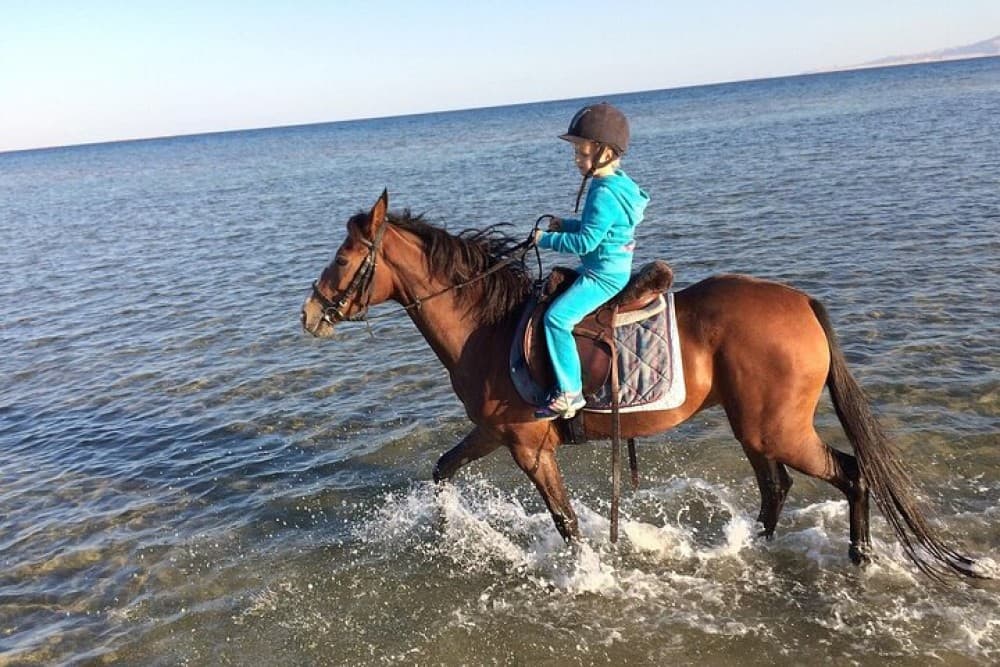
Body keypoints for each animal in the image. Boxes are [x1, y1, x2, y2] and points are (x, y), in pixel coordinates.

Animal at [301, 190, 981, 579]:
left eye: (343, 257)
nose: (309, 313)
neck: (488, 327)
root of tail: (801, 303)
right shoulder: (494, 434)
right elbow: (443, 472)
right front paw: (457, 532)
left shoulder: (527, 447)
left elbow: (566, 522)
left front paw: (587, 575)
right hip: (754, 426)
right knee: (777, 488)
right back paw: (758, 552)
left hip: (776, 428)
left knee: (848, 472)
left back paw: (859, 558)